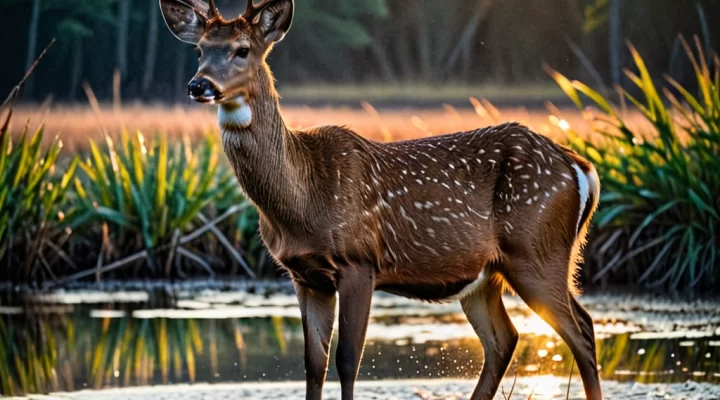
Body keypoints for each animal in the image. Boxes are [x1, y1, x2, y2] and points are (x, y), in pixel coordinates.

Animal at [160, 0, 604, 400]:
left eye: (242, 49)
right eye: (200, 49)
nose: (199, 85)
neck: (301, 201)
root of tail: (580, 167)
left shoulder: (359, 262)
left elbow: (347, 360)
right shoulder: (305, 276)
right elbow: (314, 364)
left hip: (536, 250)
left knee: (581, 329)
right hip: (488, 273)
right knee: (504, 339)